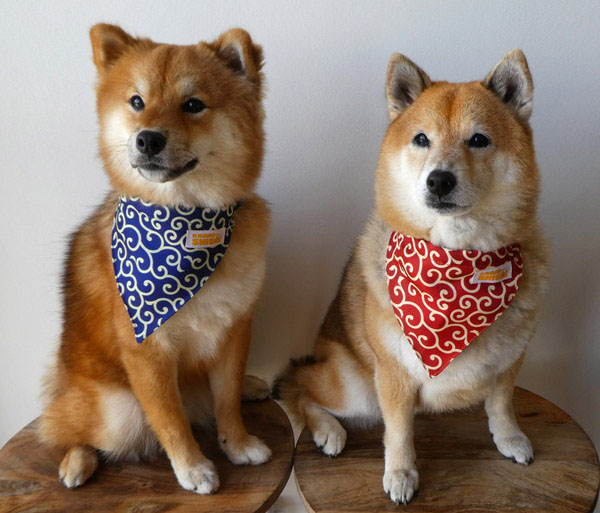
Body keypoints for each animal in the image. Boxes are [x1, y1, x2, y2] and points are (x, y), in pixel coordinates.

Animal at [38, 23, 270, 492]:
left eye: (193, 105)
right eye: (137, 102)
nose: (147, 138)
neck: (188, 223)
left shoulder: (234, 330)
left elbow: (227, 401)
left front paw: (237, 443)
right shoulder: (148, 352)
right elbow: (171, 418)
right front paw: (193, 467)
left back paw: (253, 386)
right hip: (116, 413)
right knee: (66, 427)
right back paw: (77, 460)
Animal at [274, 51, 552, 504]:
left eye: (478, 140)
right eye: (422, 139)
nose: (439, 179)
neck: (455, 264)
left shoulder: (511, 360)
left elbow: (501, 405)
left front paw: (509, 438)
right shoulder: (393, 375)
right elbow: (400, 432)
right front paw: (401, 473)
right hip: (357, 388)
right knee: (298, 387)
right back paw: (329, 431)